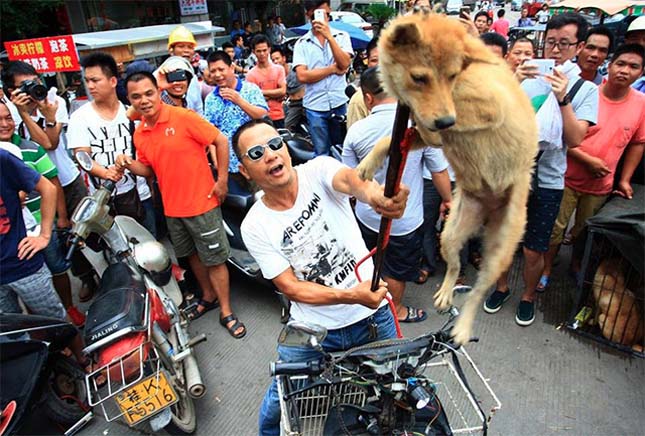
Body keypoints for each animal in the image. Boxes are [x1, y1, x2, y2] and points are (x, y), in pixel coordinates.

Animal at [358, 11, 540, 344]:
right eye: (420, 78)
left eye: (453, 76)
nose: (443, 121)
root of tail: (489, 210)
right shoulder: (422, 127)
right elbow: (391, 139)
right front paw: (367, 164)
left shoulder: (488, 107)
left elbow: (445, 120)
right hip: (450, 234)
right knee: (454, 266)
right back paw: (444, 293)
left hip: (500, 250)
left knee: (478, 292)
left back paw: (463, 327)